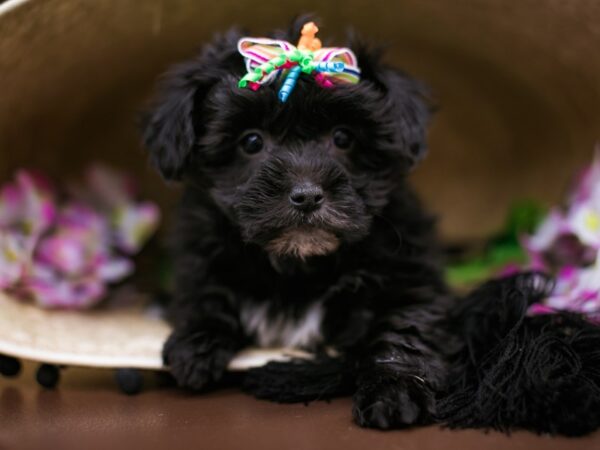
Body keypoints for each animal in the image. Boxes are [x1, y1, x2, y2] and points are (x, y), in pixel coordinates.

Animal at [142, 19, 450, 428]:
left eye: (343, 137)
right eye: (251, 141)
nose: (306, 195)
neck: (299, 266)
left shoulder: (408, 271)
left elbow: (403, 325)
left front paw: (395, 390)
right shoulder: (200, 249)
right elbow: (205, 292)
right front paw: (195, 347)